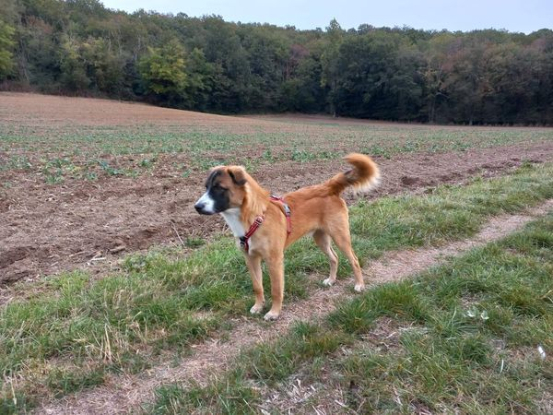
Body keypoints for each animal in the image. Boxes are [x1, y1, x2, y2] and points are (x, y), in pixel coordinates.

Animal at [194, 153, 380, 320]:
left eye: (219, 187)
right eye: (206, 187)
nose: (197, 207)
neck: (255, 216)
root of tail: (328, 187)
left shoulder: (274, 260)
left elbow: (276, 290)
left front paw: (274, 312)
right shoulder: (250, 258)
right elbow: (257, 286)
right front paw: (258, 306)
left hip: (340, 236)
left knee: (354, 259)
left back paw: (359, 285)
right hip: (320, 238)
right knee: (334, 257)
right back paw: (331, 280)